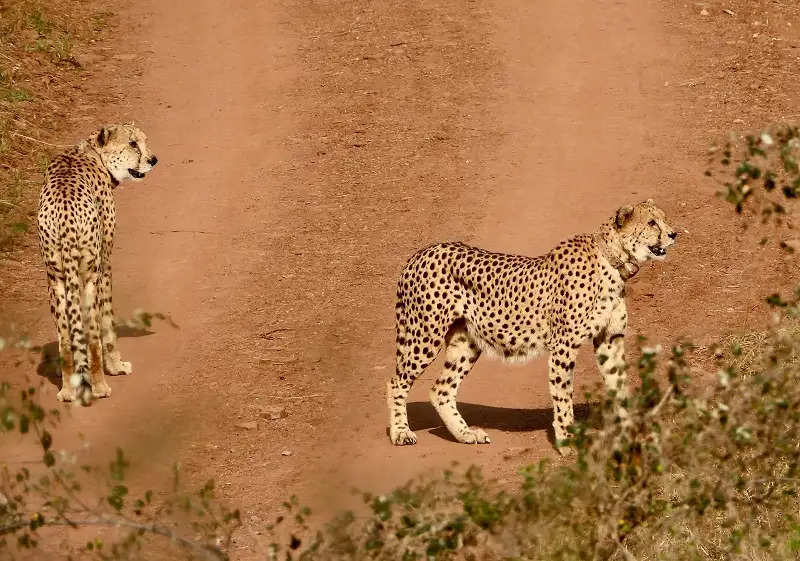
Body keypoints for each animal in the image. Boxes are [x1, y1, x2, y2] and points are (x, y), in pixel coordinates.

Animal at [39, 123, 159, 402]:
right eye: (133, 144)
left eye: (143, 141)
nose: (153, 160)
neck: (93, 153)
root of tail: (65, 215)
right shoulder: (104, 264)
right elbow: (107, 321)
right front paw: (116, 366)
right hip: (89, 276)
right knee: (93, 335)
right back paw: (100, 386)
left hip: (56, 280)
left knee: (65, 339)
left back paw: (67, 390)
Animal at [386, 199, 676, 452]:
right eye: (652, 222)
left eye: (663, 218)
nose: (673, 234)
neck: (613, 261)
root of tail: (422, 252)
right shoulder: (564, 345)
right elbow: (563, 395)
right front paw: (566, 440)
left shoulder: (609, 340)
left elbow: (619, 386)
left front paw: (631, 431)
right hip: (424, 335)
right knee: (396, 382)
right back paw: (401, 432)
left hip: (466, 341)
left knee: (441, 389)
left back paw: (466, 434)